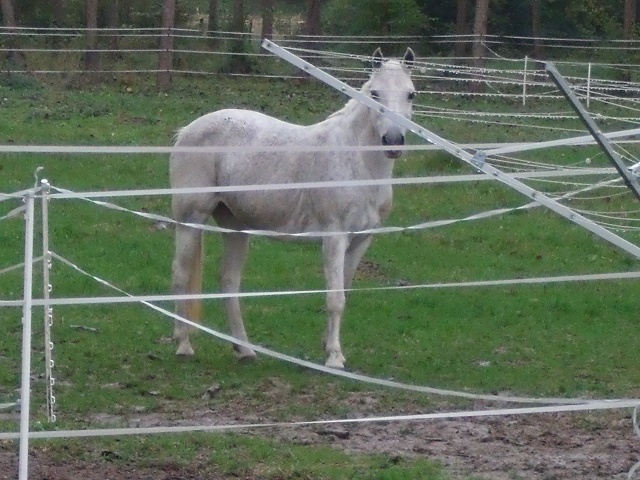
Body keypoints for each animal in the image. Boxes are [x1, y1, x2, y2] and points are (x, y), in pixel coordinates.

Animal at [171, 47, 416, 368]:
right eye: (375, 93)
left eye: (411, 94)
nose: (393, 140)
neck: (357, 161)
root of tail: (187, 130)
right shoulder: (334, 237)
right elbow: (335, 298)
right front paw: (334, 358)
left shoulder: (361, 240)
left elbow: (343, 292)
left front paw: (330, 347)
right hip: (191, 218)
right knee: (181, 274)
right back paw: (183, 344)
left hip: (235, 226)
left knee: (228, 281)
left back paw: (244, 350)